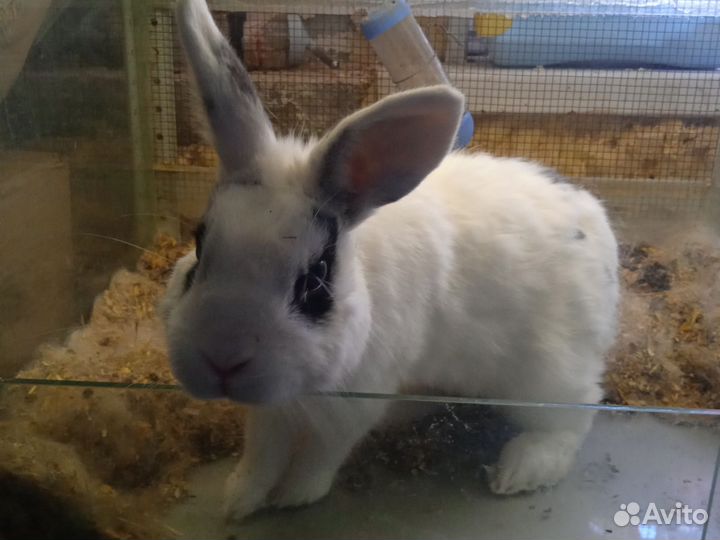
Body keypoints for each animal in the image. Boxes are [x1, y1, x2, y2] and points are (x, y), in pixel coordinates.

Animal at [162, 0, 620, 522]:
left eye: (315, 280)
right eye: (200, 246)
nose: (222, 357)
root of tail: (596, 223)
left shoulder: (355, 403)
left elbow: (322, 455)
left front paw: (295, 494)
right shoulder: (271, 412)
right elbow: (262, 451)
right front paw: (239, 500)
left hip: (545, 375)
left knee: (574, 414)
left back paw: (521, 469)